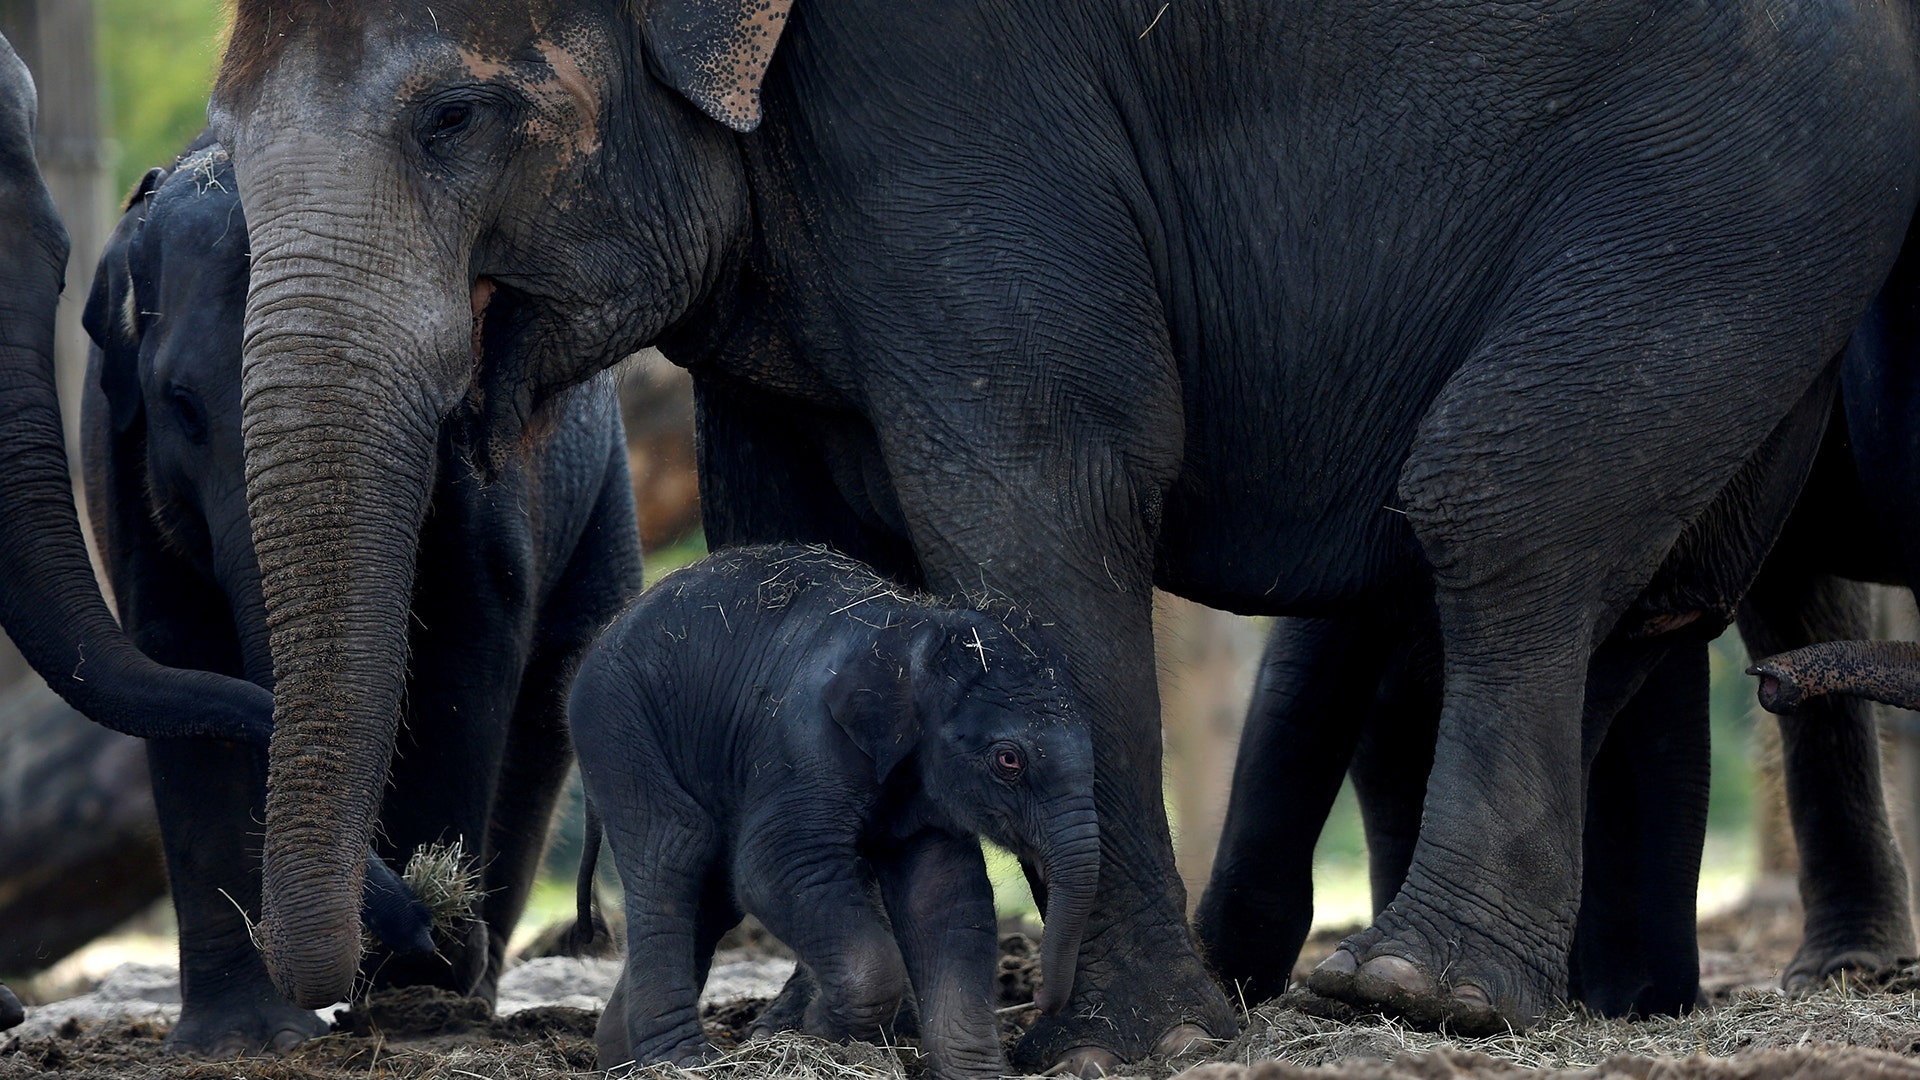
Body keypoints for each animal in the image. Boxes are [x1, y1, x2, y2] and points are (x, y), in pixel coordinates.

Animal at [78, 142, 645, 1055]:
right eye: (182, 407)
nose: (418, 923)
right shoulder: (119, 454)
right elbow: (177, 652)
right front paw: (244, 1039)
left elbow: (464, 642)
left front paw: (415, 998)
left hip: (604, 504)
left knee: (548, 706)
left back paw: (466, 993)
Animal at [569, 545, 1097, 1078]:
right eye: (1009, 761)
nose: (1040, 1000)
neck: (914, 630)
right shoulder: (807, 744)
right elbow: (774, 868)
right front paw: (817, 1029)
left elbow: (943, 894)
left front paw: (976, 1075)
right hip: (617, 726)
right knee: (674, 850)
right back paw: (681, 1061)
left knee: (711, 894)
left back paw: (619, 1057)